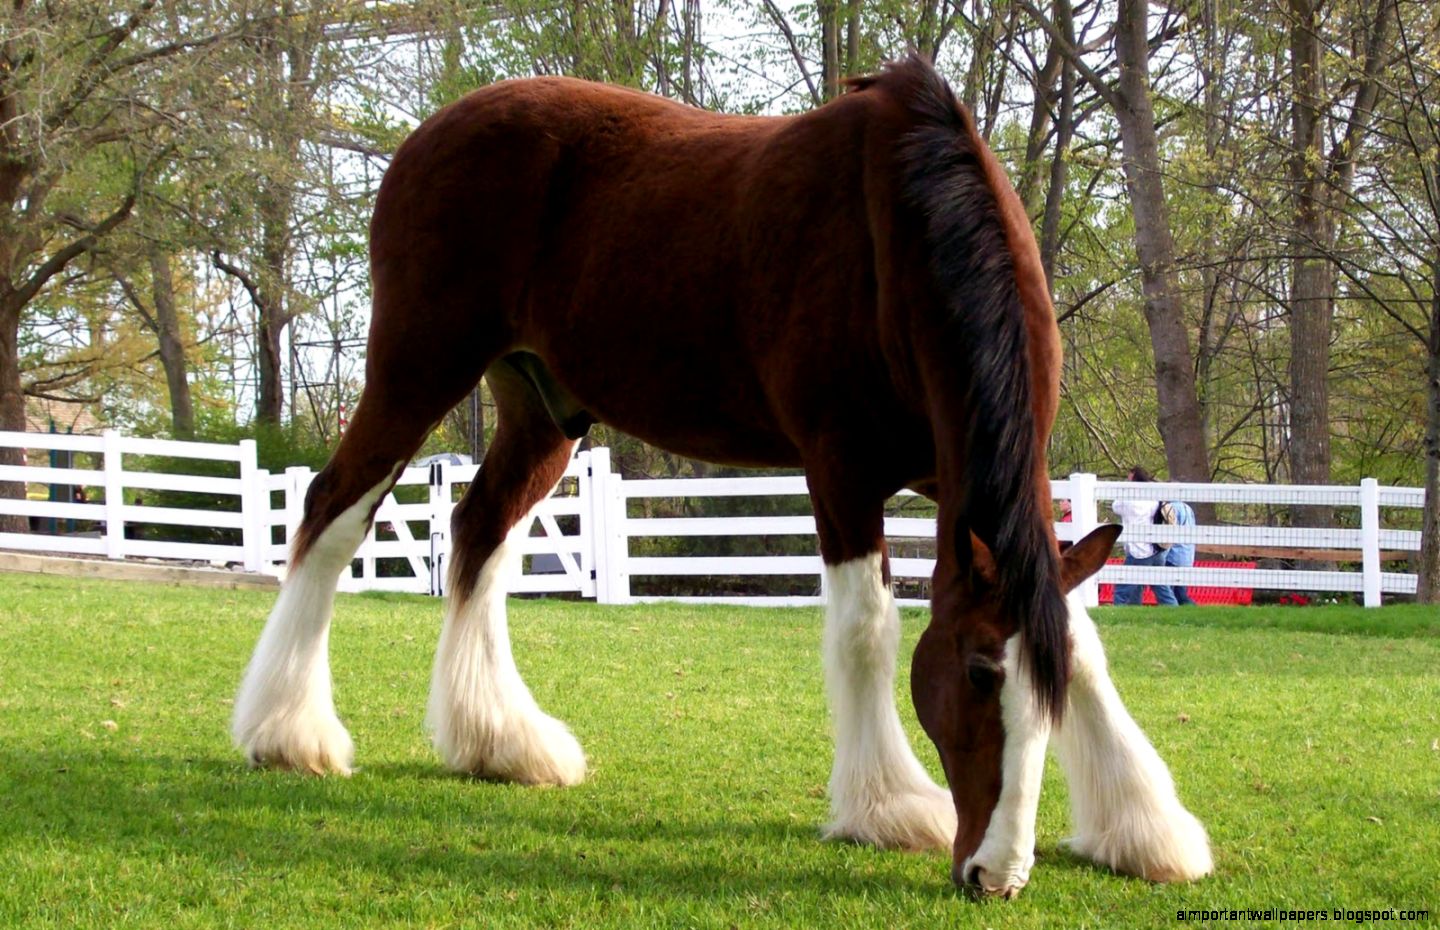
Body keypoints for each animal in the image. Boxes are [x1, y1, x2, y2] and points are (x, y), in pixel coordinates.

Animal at [231, 56, 1212, 897]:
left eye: (1044, 697)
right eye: (975, 675)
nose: (995, 876)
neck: (900, 234)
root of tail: (434, 130)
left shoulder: (966, 484)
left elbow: (1078, 637)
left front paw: (1145, 829)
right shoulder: (841, 468)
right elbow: (866, 629)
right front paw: (889, 806)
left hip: (542, 407)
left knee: (480, 532)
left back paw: (500, 744)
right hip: (417, 364)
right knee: (333, 512)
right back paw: (288, 733)